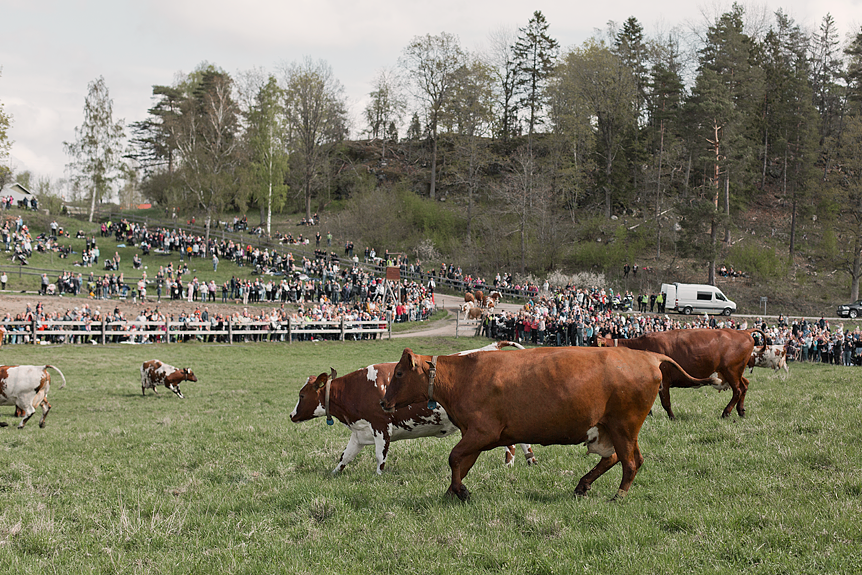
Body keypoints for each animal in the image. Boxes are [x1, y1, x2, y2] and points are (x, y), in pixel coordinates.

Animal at [290, 344, 536, 474]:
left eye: (301, 395)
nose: (291, 415)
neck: (357, 388)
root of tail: (494, 347)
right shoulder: (359, 433)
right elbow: (344, 458)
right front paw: (332, 475)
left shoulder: (381, 427)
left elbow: (379, 457)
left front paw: (378, 477)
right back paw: (529, 461)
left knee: (511, 443)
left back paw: (509, 465)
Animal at [384, 344, 724, 502]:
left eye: (399, 373)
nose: (383, 403)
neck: (463, 376)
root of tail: (647, 356)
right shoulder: (475, 436)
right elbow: (461, 464)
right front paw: (451, 494)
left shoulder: (482, 432)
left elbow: (454, 458)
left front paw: (461, 492)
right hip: (613, 428)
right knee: (616, 457)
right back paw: (583, 485)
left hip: (624, 425)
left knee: (631, 461)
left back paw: (618, 495)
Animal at [596, 328, 768, 418]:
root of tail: (744, 331)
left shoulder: (664, 380)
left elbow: (666, 402)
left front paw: (672, 417)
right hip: (734, 373)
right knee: (744, 385)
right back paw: (741, 411)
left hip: (731, 371)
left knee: (737, 390)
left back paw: (726, 412)